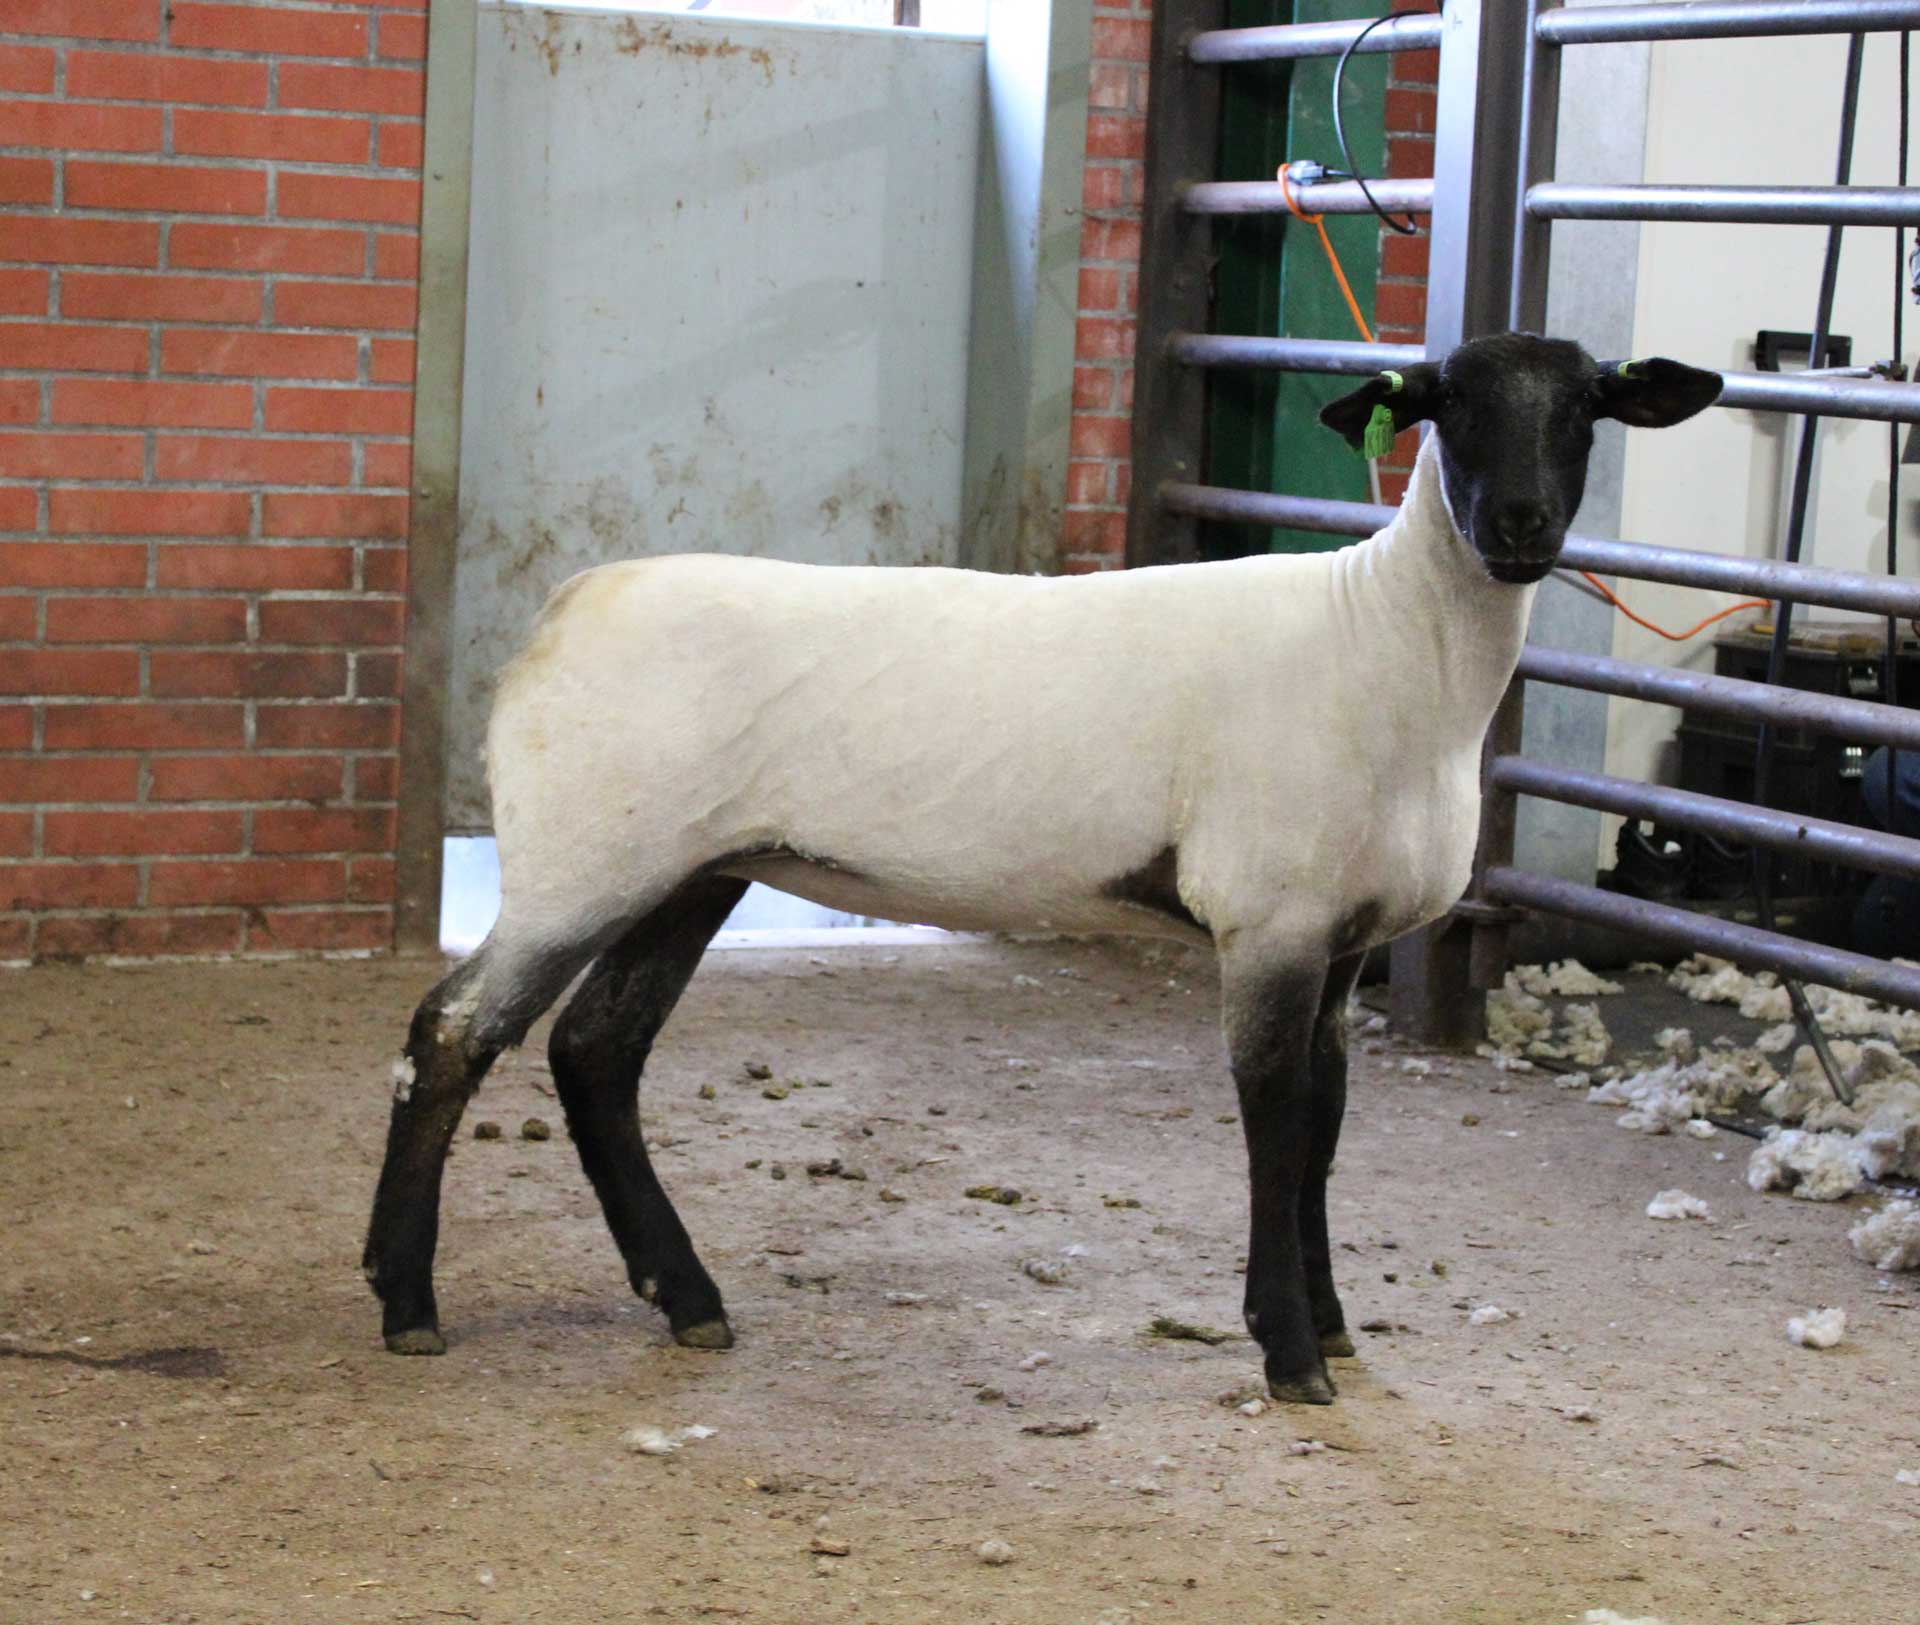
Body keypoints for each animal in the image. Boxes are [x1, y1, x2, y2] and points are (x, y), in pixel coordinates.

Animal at [363, 332, 1722, 1405]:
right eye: (1449, 401)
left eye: (1586, 404)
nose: (1519, 528)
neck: (1389, 645)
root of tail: (568, 607)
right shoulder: (1268, 918)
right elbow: (1276, 1122)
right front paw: (1290, 1351)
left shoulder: (1340, 940)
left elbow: (1326, 1129)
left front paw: (1333, 1323)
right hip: (583, 860)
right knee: (453, 1032)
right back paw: (405, 1298)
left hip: (695, 865)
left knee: (597, 1050)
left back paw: (684, 1294)